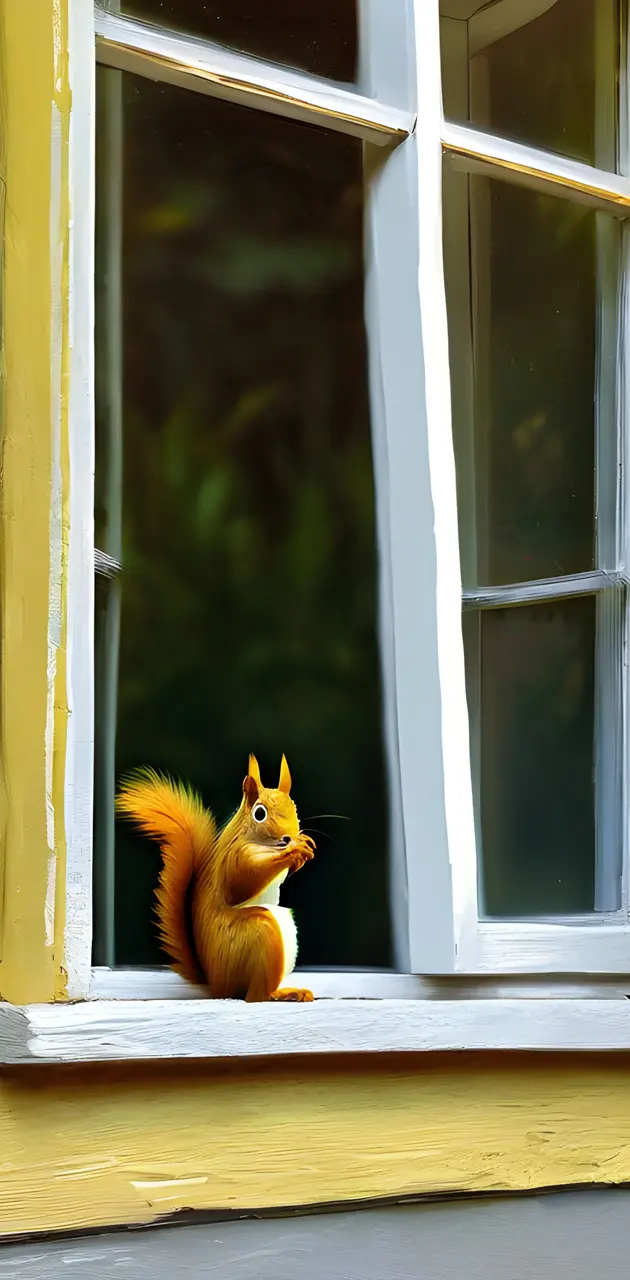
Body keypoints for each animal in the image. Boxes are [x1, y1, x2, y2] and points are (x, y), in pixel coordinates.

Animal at [114, 752, 315, 1003]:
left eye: (294, 808)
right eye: (259, 813)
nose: (288, 837)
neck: (262, 844)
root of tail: (217, 984)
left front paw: (304, 847)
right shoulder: (235, 857)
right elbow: (240, 883)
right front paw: (293, 850)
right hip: (260, 934)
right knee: (253, 997)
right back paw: (274, 994)